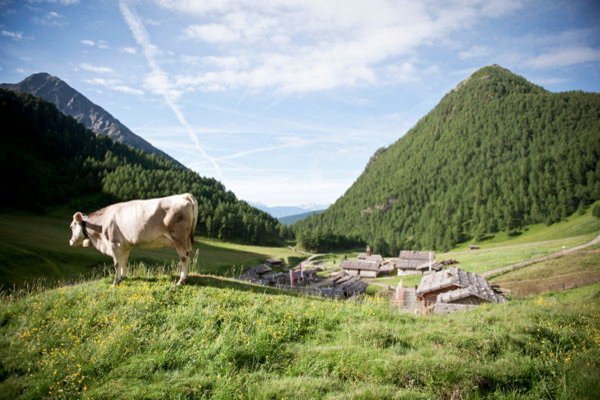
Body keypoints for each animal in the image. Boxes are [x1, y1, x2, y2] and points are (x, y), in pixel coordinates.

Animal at [68, 193, 199, 284]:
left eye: (71, 226)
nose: (70, 242)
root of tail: (184, 196)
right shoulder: (125, 246)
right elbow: (124, 261)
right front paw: (122, 278)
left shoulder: (114, 243)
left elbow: (116, 263)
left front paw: (115, 281)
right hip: (186, 240)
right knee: (188, 255)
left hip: (179, 239)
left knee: (184, 257)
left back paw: (181, 281)